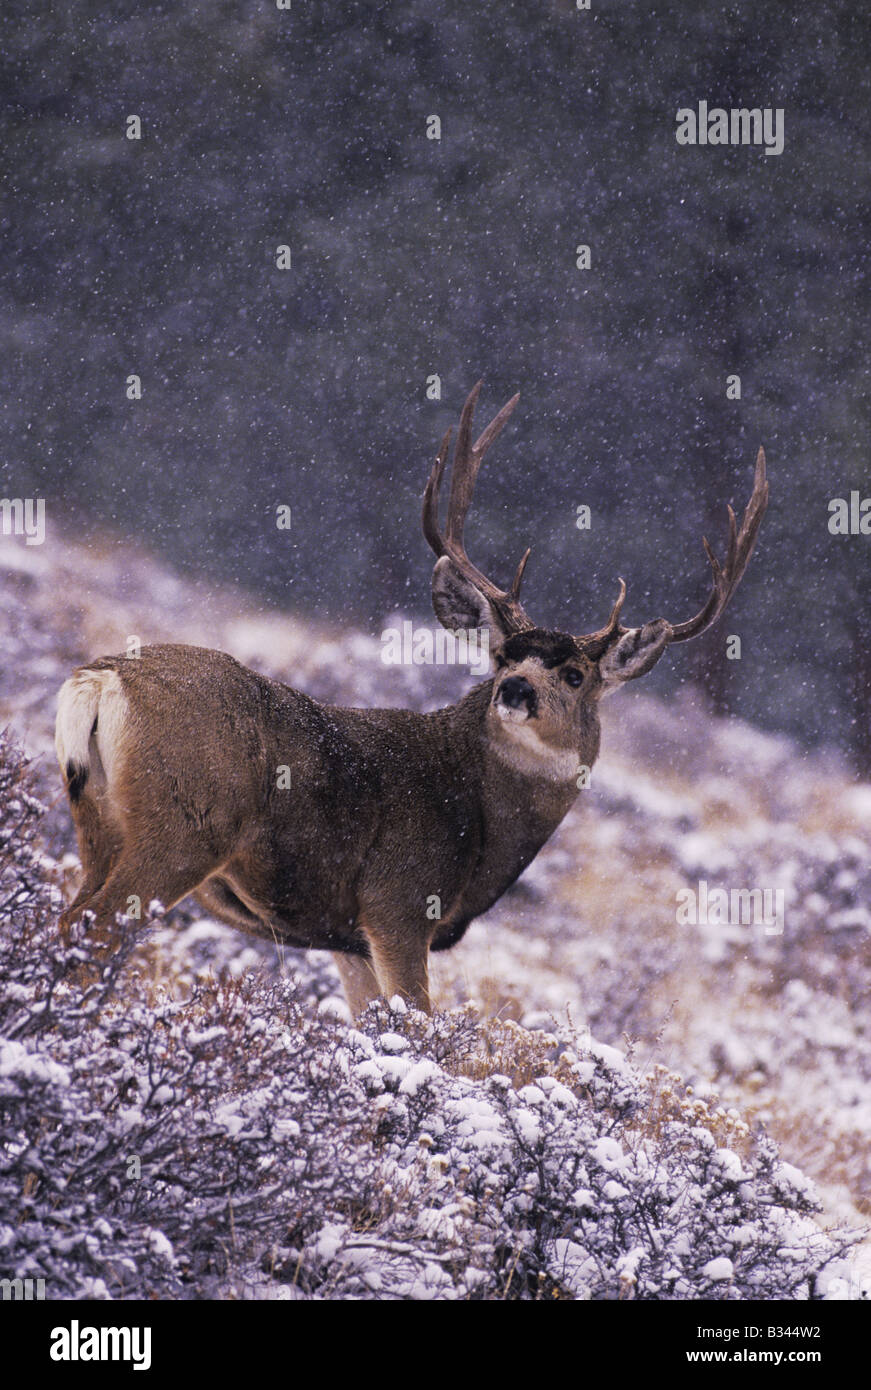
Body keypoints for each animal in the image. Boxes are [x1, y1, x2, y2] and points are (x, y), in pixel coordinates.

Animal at [54, 380, 766, 1011]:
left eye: (574, 676)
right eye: (504, 656)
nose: (514, 689)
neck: (480, 824)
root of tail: (100, 679)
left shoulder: (346, 938)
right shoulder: (398, 900)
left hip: (96, 820)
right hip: (184, 822)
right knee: (88, 928)